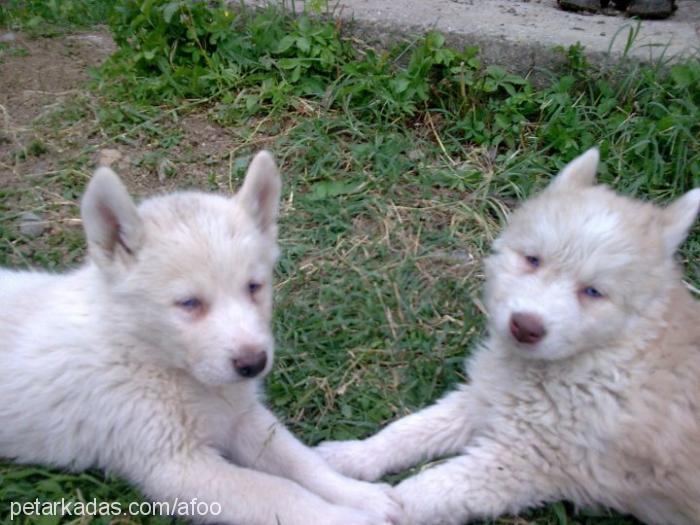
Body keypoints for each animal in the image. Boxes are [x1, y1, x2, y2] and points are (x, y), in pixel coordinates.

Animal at [0, 151, 402, 524]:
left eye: (254, 287)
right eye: (189, 303)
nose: (253, 363)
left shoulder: (243, 417)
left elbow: (301, 463)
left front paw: (361, 495)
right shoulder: (176, 465)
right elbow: (279, 493)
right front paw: (350, 518)